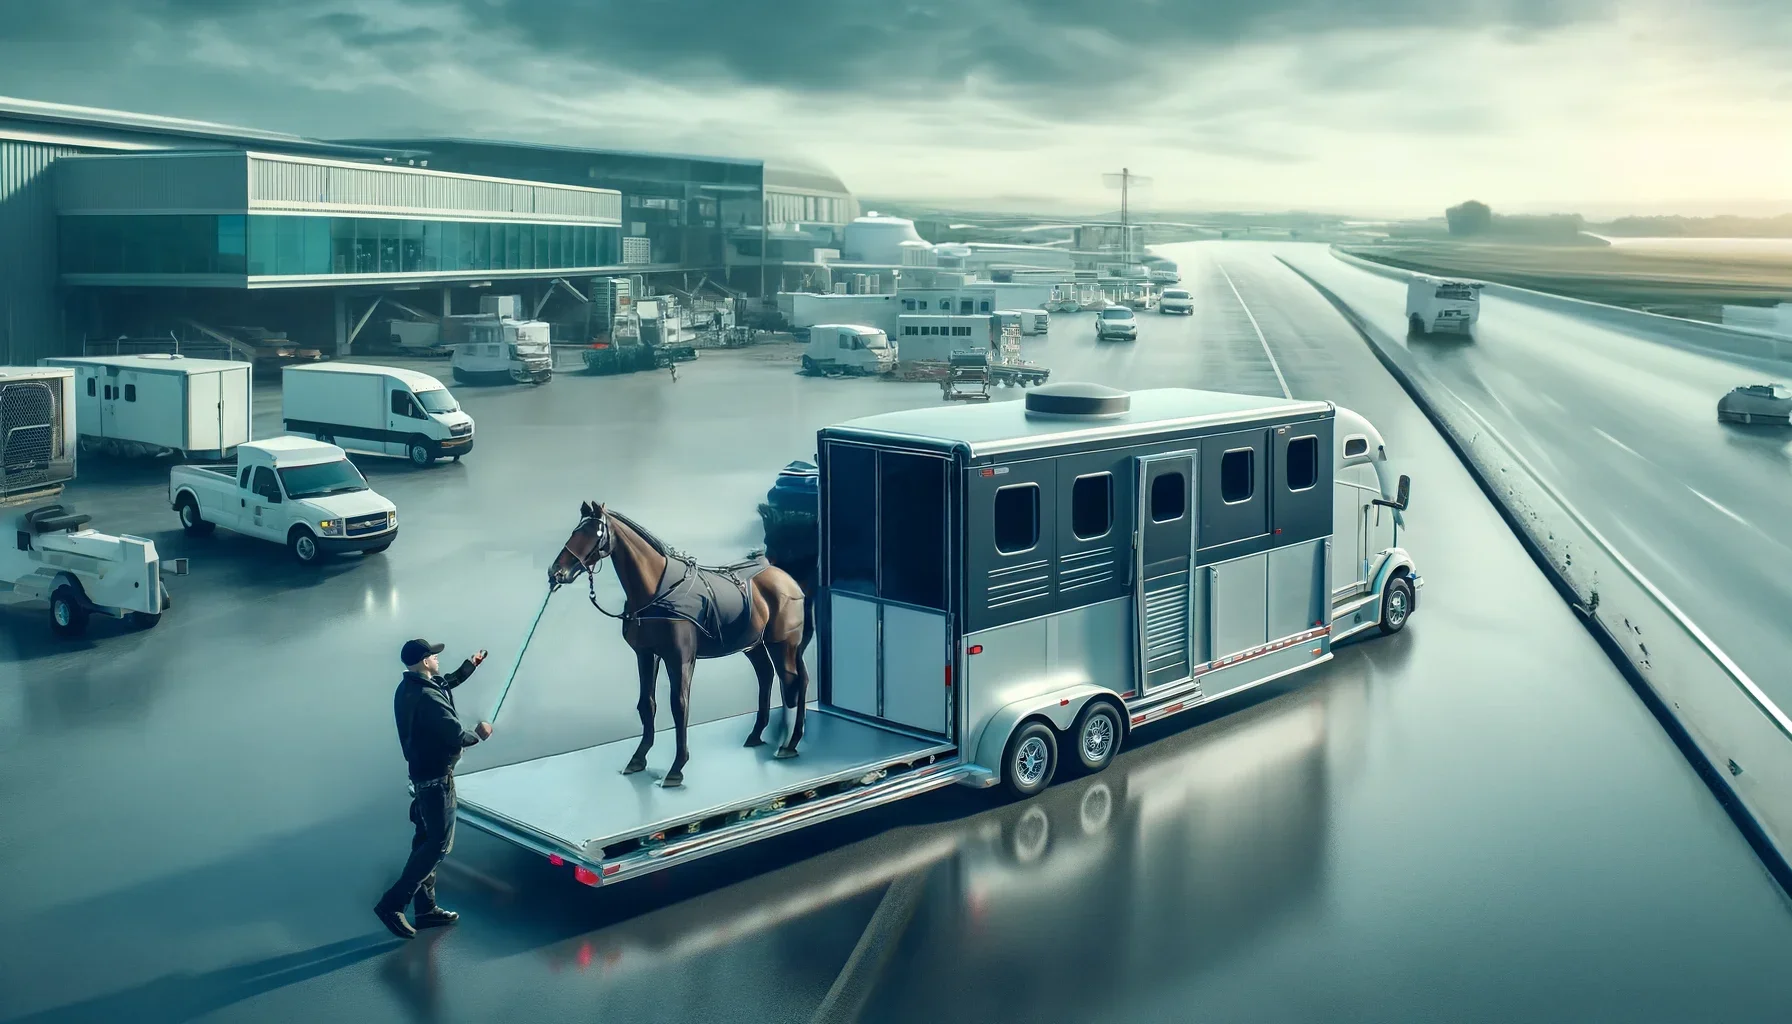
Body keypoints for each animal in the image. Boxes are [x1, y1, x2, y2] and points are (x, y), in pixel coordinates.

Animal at [548, 502, 817, 789]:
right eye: (576, 531)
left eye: (595, 533)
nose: (556, 573)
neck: (658, 591)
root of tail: (787, 580)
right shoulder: (646, 655)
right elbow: (647, 704)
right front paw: (638, 758)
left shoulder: (680, 659)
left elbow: (679, 706)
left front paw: (676, 768)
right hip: (754, 644)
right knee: (767, 675)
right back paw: (757, 735)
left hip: (783, 644)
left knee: (794, 682)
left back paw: (789, 744)